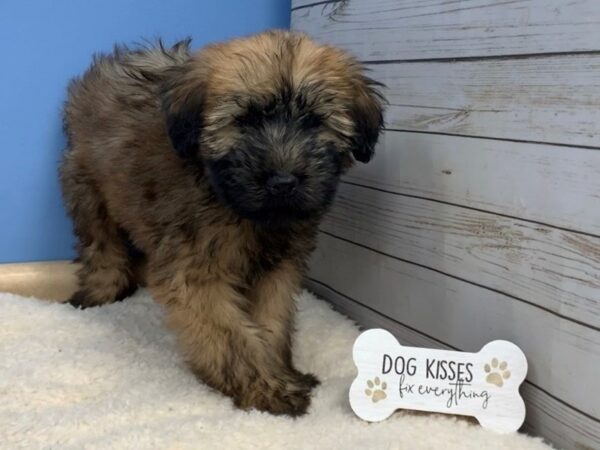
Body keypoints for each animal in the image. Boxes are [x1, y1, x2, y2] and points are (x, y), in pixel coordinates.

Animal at [58, 31, 382, 416]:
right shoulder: (195, 272)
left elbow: (271, 321)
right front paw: (265, 388)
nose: (283, 182)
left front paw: (281, 370)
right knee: (102, 249)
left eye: (314, 121)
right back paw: (98, 293)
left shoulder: (278, 268)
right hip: (88, 192)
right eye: (245, 121)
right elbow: (230, 335)